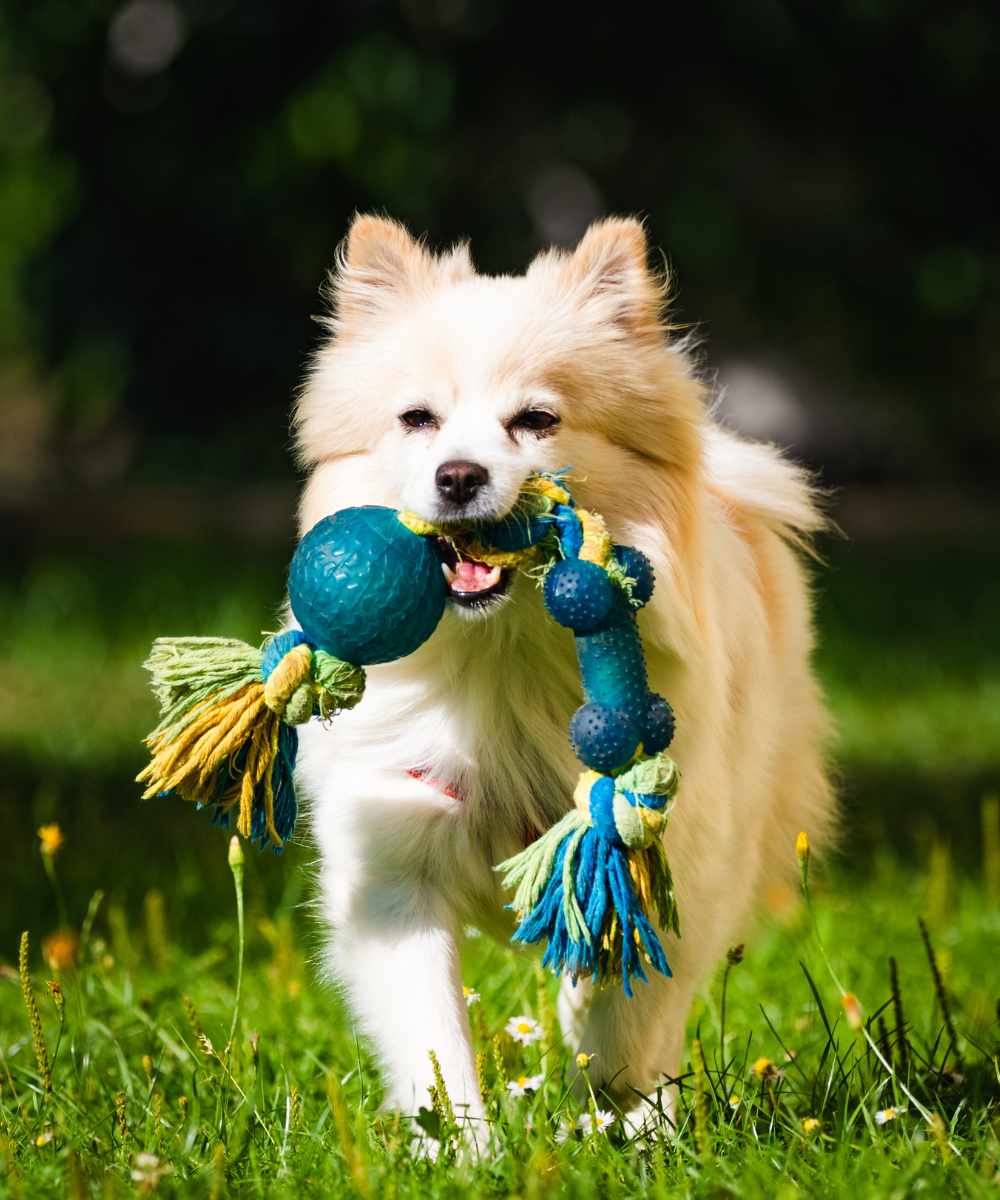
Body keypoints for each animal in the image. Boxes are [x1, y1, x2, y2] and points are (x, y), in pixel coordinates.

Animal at [290, 211, 835, 1137]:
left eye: (536, 420)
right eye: (418, 420)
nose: (459, 476)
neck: (502, 657)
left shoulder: (668, 854)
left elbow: (624, 1005)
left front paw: (613, 1114)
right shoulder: (393, 865)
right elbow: (432, 1037)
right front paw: (463, 1147)